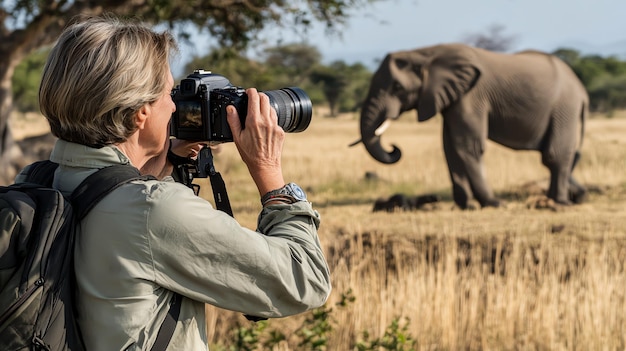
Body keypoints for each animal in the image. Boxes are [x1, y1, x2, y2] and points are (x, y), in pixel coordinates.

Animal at [354, 43, 588, 209]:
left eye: (397, 87)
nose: (394, 148)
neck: (425, 53)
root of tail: (582, 90)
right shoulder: (453, 98)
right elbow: (450, 147)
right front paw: (466, 205)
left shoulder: (472, 95)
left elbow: (468, 146)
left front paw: (494, 204)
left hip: (565, 108)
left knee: (555, 155)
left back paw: (560, 202)